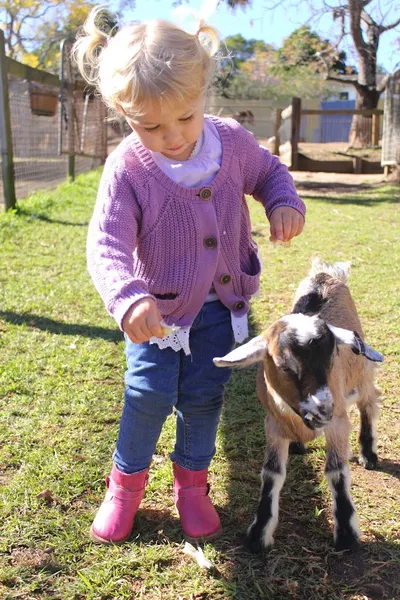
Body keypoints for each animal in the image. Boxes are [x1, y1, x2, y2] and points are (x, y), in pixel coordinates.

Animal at [214, 258, 382, 552]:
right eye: (285, 367)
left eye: (332, 358)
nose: (323, 410)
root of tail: (326, 273)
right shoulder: (273, 423)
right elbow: (271, 472)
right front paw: (259, 534)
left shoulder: (339, 421)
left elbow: (336, 471)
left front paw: (346, 535)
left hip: (361, 373)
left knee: (369, 402)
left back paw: (368, 454)